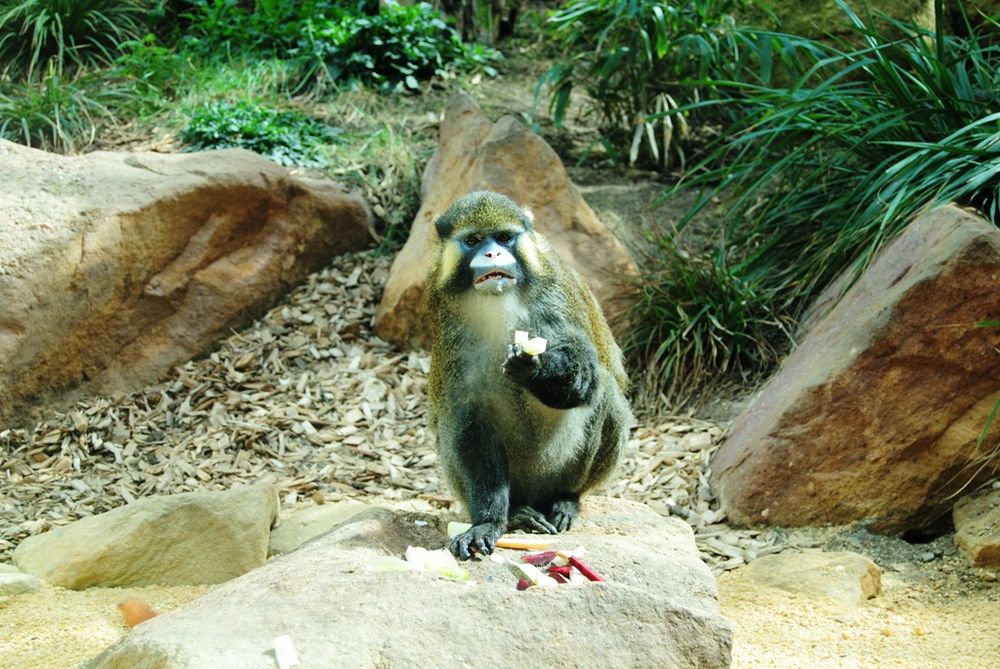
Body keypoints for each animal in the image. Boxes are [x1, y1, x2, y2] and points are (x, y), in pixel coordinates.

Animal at [424, 190, 632, 560]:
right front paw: (487, 523)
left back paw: (565, 500)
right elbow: (468, 416)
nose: (493, 253)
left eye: (505, 237)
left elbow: (587, 378)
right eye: (473, 240)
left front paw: (535, 368)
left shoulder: (557, 297)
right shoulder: (448, 326)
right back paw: (518, 512)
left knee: (605, 393)